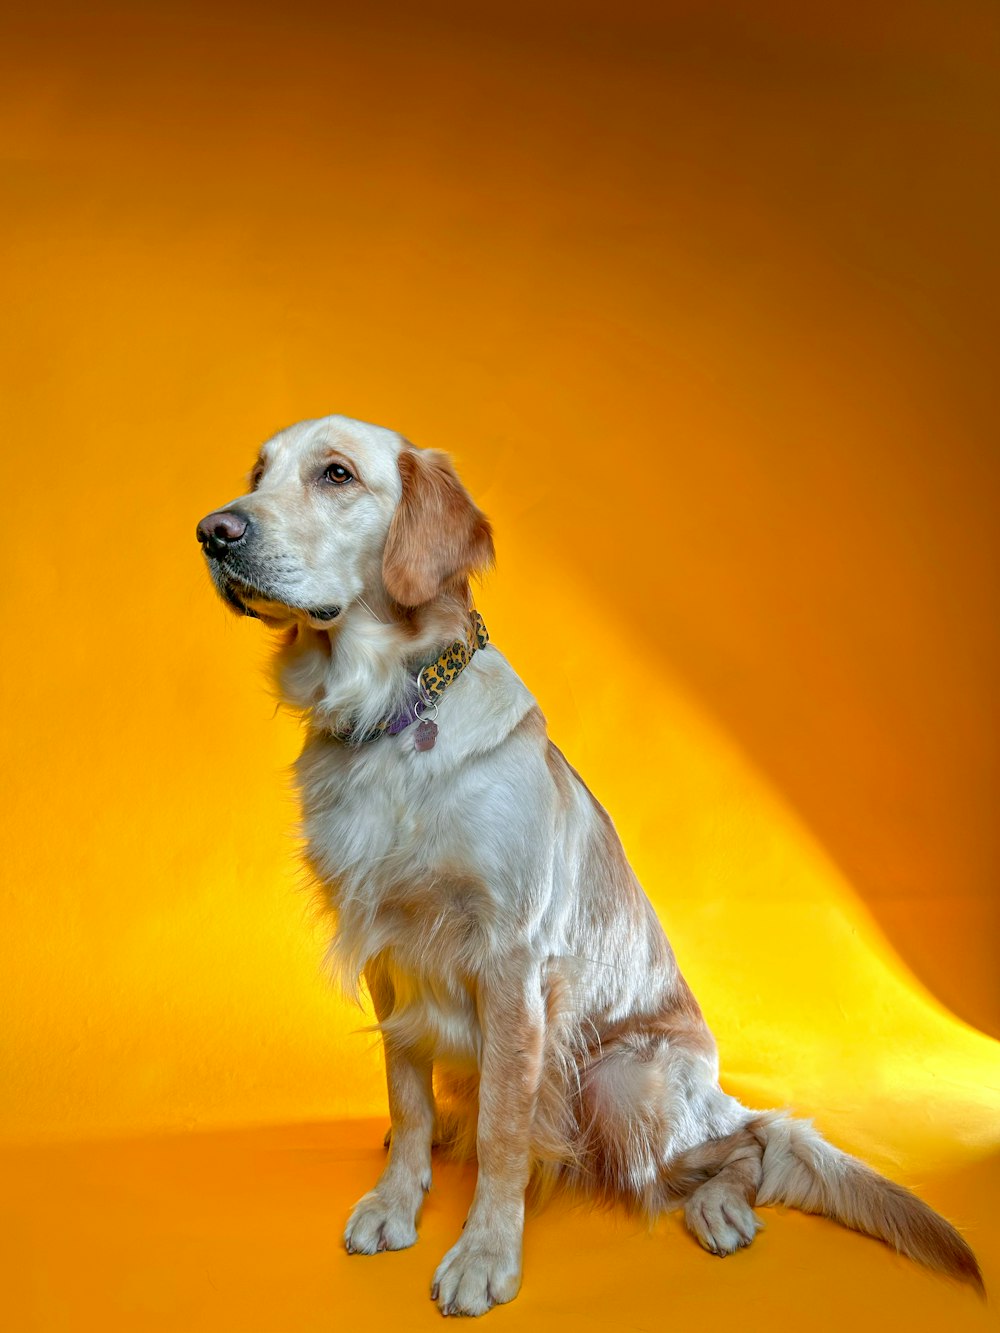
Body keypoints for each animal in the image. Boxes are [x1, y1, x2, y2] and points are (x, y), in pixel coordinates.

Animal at [200, 413, 981, 1311]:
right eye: (257, 473)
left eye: (336, 474)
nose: (213, 532)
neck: (393, 715)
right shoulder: (391, 958)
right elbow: (406, 1093)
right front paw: (397, 1198)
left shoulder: (512, 962)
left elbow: (506, 1132)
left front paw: (485, 1250)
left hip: (622, 1083)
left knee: (753, 1144)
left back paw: (719, 1205)